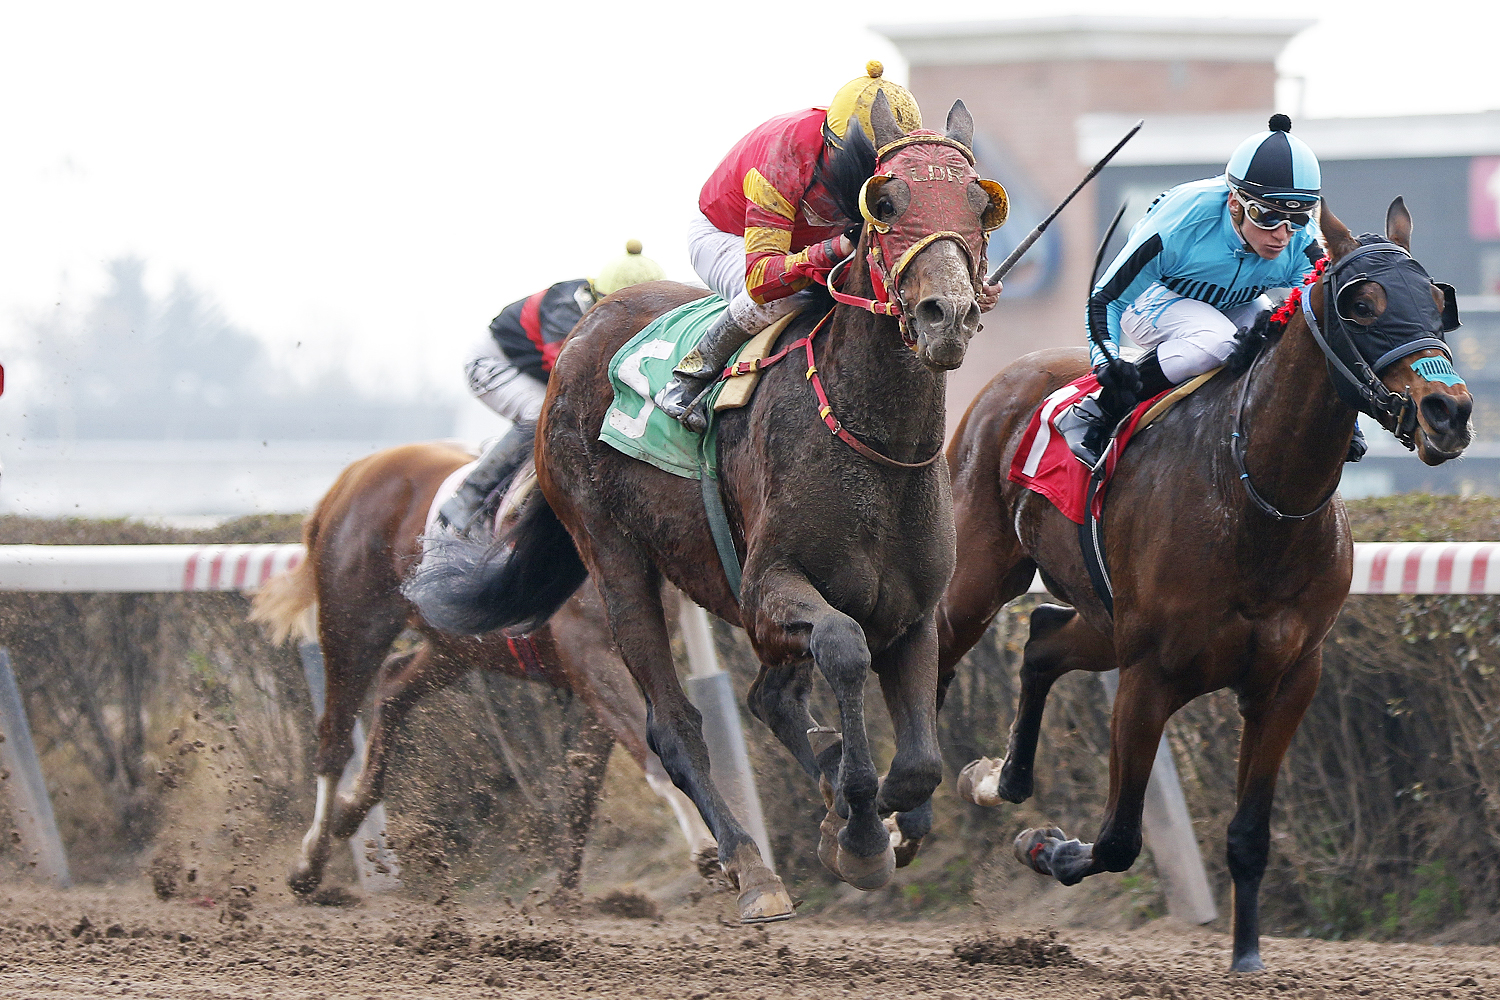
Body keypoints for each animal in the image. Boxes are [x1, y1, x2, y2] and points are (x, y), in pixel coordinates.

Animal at [249, 441, 714, 898]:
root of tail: (350, 477)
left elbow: (585, 787)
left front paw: (564, 897)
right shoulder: (592, 658)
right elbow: (649, 755)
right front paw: (707, 847)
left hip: (455, 647)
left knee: (394, 685)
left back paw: (350, 812)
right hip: (354, 626)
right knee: (335, 736)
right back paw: (310, 861)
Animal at [405, 93, 1009, 923]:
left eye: (981, 204)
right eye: (884, 204)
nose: (947, 314)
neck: (872, 445)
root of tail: (586, 335)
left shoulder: (914, 609)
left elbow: (918, 760)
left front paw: (879, 820)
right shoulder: (765, 591)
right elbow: (844, 650)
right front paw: (857, 830)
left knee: (767, 697)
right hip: (616, 560)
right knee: (674, 726)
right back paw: (751, 868)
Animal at [936, 199, 1473, 971]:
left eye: (1436, 301)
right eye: (1362, 304)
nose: (1448, 413)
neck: (1258, 497)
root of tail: (1012, 374)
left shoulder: (1288, 679)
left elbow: (1249, 835)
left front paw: (1247, 955)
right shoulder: (1150, 675)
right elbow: (1117, 839)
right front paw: (1043, 847)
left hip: (1104, 620)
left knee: (1040, 640)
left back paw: (1000, 777)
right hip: (981, 581)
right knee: (933, 653)